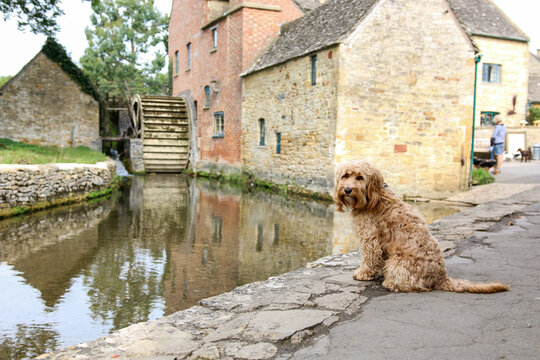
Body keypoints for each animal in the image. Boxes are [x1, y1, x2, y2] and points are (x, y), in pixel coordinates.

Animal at [336, 160, 508, 292]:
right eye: (346, 175)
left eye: (360, 177)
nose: (347, 189)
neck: (375, 197)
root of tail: (441, 277)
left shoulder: (370, 239)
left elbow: (370, 258)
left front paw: (363, 274)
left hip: (396, 262)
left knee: (414, 285)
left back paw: (390, 283)